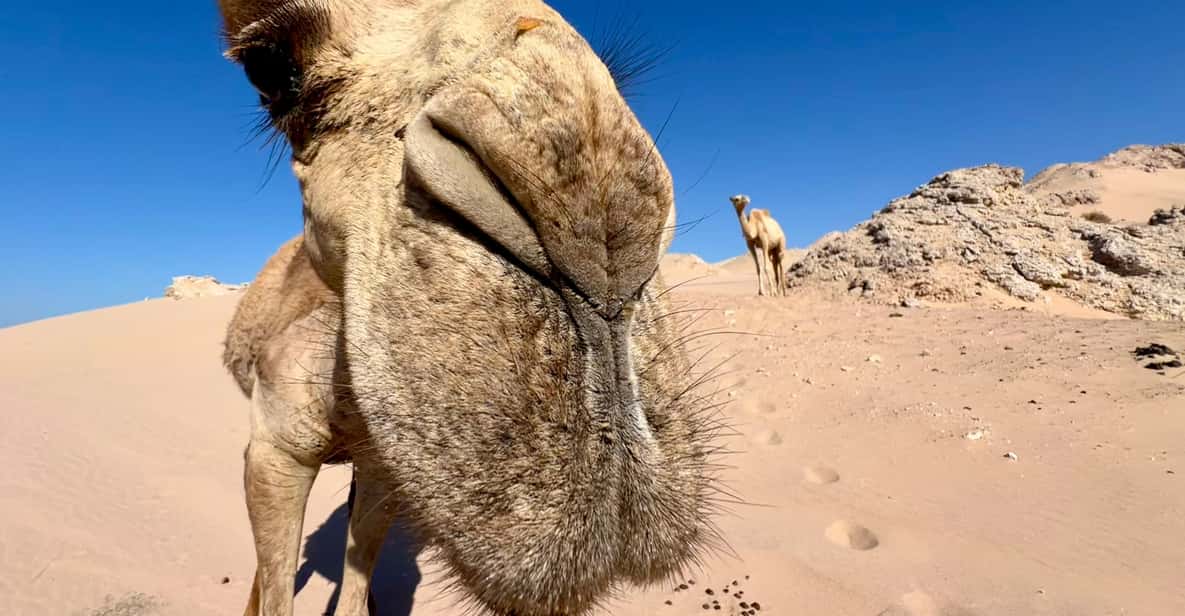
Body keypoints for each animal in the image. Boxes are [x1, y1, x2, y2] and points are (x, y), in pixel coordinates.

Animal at [216, 2, 721, 615]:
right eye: (268, 68)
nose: (603, 226)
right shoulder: (273, 451)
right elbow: (278, 587)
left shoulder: (384, 469)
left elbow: (357, 579)